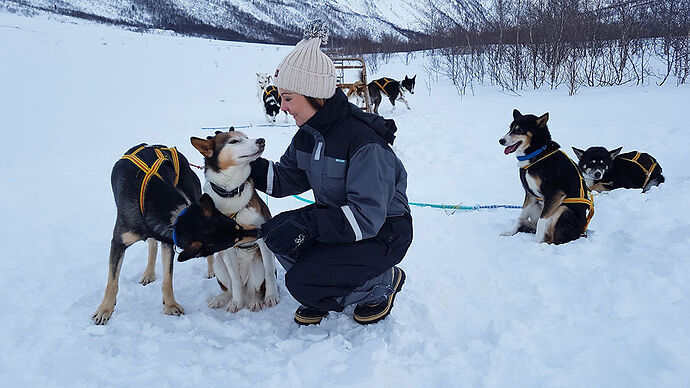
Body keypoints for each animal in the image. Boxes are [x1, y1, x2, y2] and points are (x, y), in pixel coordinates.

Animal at [90, 143, 254, 324]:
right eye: (233, 239)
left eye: (235, 225)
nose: (259, 231)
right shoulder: (118, 242)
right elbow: (112, 282)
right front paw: (105, 309)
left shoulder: (168, 242)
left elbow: (167, 279)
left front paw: (170, 305)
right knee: (152, 245)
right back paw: (149, 272)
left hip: (192, 193)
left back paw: (211, 270)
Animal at [189, 130, 278, 312]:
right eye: (234, 141)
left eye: (246, 137)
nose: (261, 140)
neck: (232, 192)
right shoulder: (226, 248)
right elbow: (235, 281)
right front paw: (236, 302)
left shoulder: (263, 240)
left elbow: (269, 273)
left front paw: (271, 296)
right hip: (219, 264)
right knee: (230, 287)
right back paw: (222, 298)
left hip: (256, 266)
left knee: (256, 289)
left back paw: (255, 300)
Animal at [498, 108, 592, 242]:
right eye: (510, 128)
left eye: (519, 130)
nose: (501, 141)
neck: (537, 154)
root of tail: (580, 233)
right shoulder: (530, 195)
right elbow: (521, 216)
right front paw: (511, 232)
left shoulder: (555, 194)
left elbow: (541, 221)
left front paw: (535, 242)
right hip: (536, 205)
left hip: (562, 208)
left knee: (553, 239)